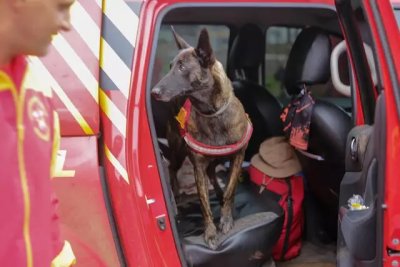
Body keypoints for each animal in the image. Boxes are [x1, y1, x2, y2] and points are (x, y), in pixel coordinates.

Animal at [151, 28, 250, 250]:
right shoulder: (197, 165)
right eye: (170, 66)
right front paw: (211, 232)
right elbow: (204, 204)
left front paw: (226, 218)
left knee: (213, 173)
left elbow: (231, 189)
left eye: (182, 67)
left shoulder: (238, 156)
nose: (153, 92)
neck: (212, 114)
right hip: (179, 151)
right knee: (174, 169)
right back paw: (176, 192)